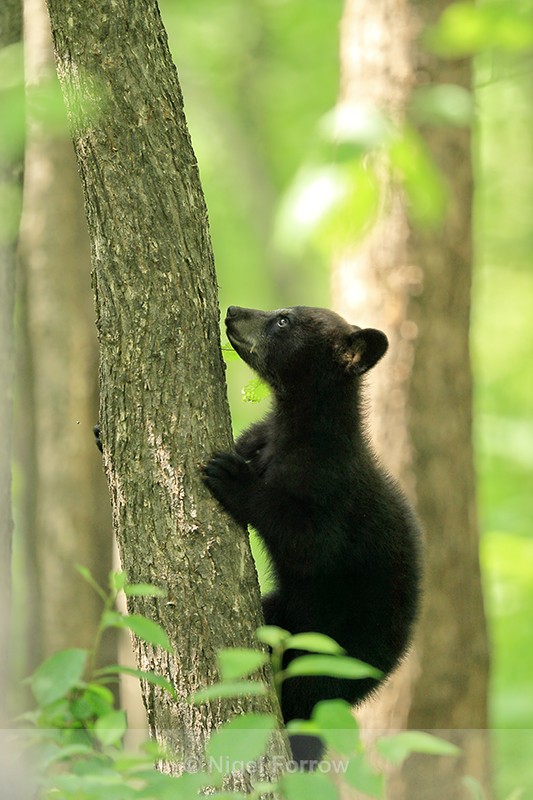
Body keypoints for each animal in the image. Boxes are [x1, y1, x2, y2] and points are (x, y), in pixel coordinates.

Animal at [203, 305, 422, 766]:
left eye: (283, 320)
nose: (233, 311)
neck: (298, 428)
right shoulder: (260, 436)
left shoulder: (331, 486)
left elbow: (309, 542)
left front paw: (234, 479)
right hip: (285, 616)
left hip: (329, 657)